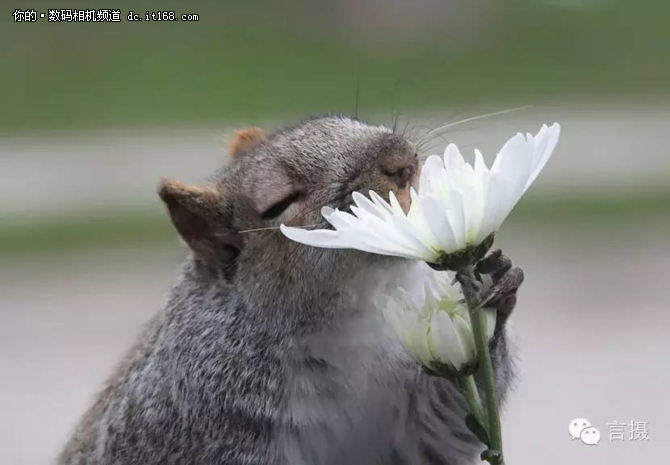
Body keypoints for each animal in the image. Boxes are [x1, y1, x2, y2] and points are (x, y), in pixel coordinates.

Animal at [59, 116, 524, 464]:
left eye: (350, 120)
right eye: (280, 203)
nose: (400, 158)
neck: (350, 319)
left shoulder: (412, 417)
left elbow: (447, 421)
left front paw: (495, 285)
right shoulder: (194, 419)